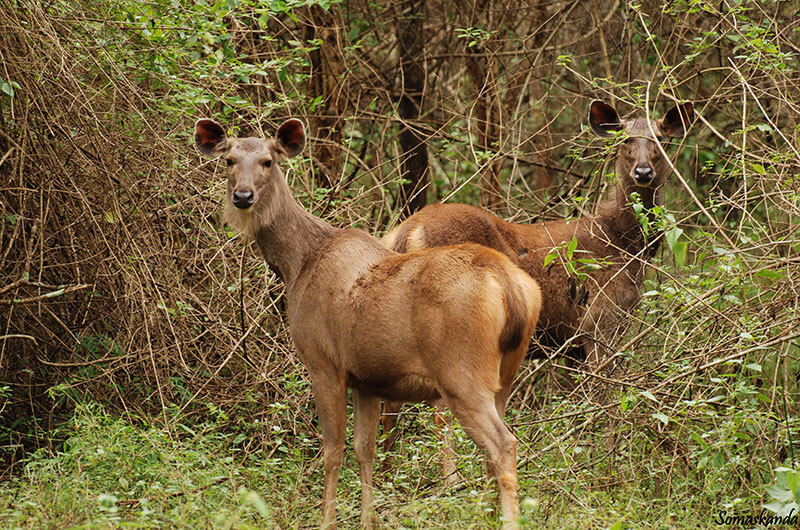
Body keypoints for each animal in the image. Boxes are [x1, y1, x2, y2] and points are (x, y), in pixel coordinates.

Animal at [195, 117, 544, 524]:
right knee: (495, 448)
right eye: (230, 160)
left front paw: (327, 521)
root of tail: (510, 285)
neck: (298, 264)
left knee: (503, 444)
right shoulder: (366, 379)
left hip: (461, 373)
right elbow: (366, 450)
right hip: (506, 375)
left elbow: (333, 451)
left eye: (268, 161)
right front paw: (367, 519)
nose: (243, 196)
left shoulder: (323, 363)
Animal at [382, 97, 692, 464]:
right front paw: (608, 462)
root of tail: (408, 231)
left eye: (661, 139)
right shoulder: (601, 321)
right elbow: (607, 400)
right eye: (624, 140)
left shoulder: (572, 342)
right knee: (442, 407)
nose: (643, 172)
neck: (623, 244)